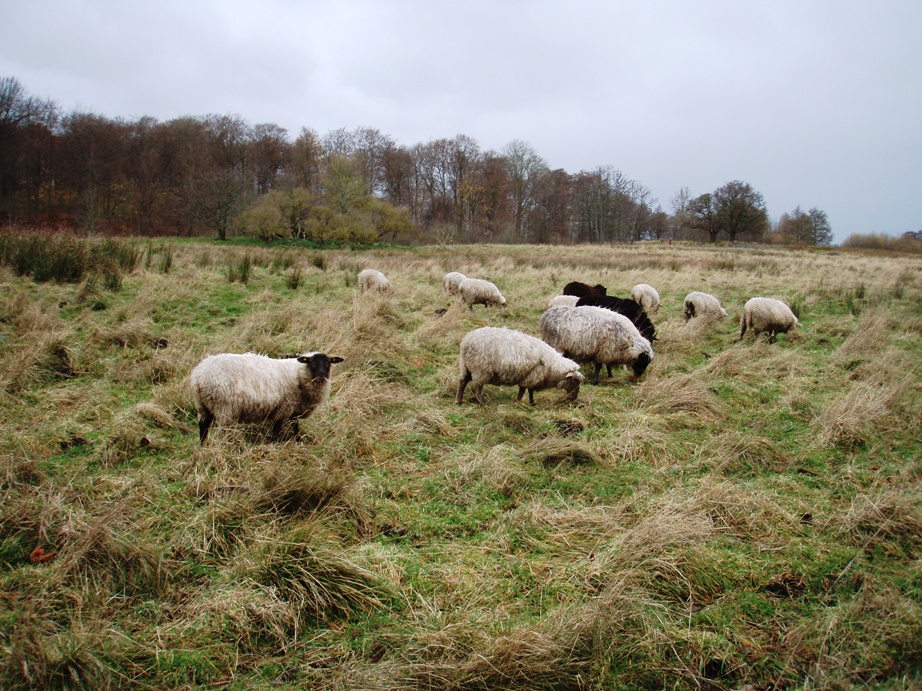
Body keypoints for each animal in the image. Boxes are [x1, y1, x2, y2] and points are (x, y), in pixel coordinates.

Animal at [190, 352, 344, 444]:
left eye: (328, 364)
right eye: (312, 364)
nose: (321, 376)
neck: (298, 374)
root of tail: (199, 377)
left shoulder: (292, 409)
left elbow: (294, 426)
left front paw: (297, 439)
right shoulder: (284, 408)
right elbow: (278, 429)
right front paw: (276, 443)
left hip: (202, 406)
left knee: (203, 427)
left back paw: (203, 446)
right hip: (225, 408)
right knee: (222, 430)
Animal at [454, 328, 584, 406]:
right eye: (574, 381)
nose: (574, 398)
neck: (552, 365)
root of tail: (466, 342)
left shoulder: (530, 377)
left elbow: (528, 390)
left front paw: (530, 403)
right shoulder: (532, 376)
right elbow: (524, 391)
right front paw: (520, 402)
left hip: (466, 366)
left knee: (462, 382)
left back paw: (459, 400)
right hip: (480, 369)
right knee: (477, 387)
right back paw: (482, 402)